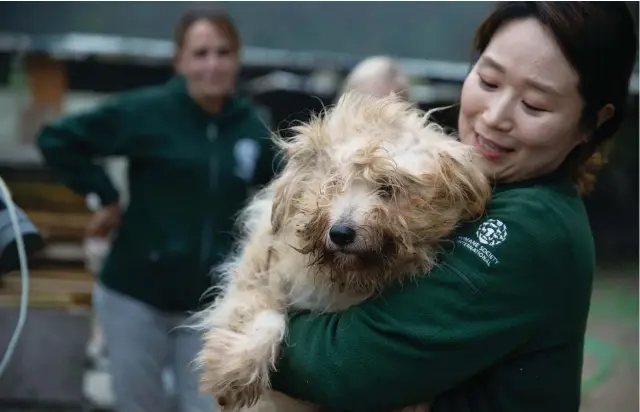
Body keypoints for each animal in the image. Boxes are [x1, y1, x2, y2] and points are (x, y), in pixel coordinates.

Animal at [195, 92, 490, 412]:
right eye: (333, 184)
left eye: (387, 187)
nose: (340, 233)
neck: (345, 277)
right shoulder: (258, 275)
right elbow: (265, 315)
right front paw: (237, 369)